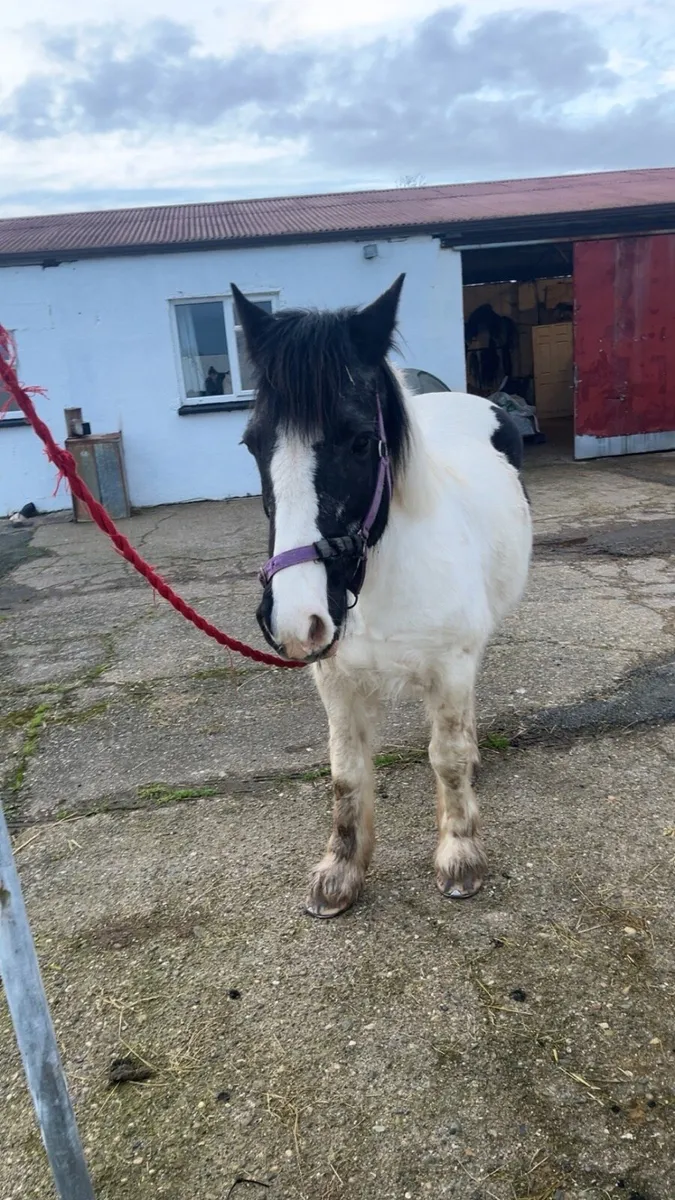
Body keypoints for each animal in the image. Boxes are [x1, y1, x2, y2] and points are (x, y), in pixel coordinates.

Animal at [232, 275, 532, 918]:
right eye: (252, 443)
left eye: (361, 440)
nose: (294, 619)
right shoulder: (335, 678)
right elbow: (346, 772)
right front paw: (340, 871)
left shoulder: (449, 666)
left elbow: (446, 756)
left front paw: (459, 854)